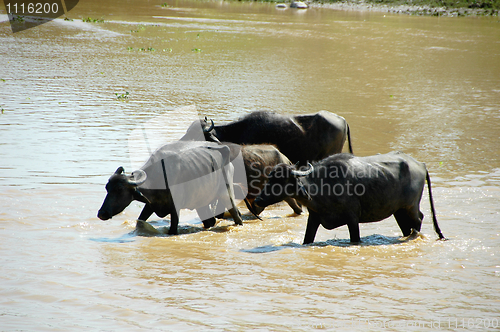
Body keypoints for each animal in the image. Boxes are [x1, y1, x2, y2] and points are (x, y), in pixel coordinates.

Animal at [96, 140, 243, 233]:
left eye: (119, 189)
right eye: (107, 188)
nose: (102, 213)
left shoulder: (175, 209)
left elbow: (172, 230)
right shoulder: (151, 204)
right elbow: (139, 221)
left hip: (226, 194)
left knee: (237, 215)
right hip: (201, 202)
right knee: (210, 221)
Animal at [254, 151, 446, 244]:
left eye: (281, 179)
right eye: (270, 178)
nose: (257, 200)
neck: (325, 186)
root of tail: (420, 165)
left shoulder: (352, 218)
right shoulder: (314, 217)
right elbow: (307, 240)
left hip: (411, 206)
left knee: (418, 219)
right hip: (398, 210)